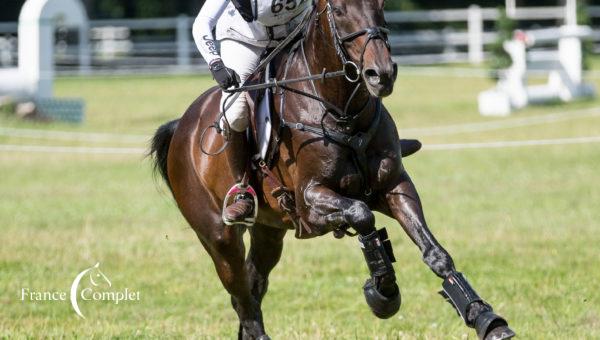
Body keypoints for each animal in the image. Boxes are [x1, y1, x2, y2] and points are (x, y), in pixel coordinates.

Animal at [150, 1, 516, 338]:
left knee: (252, 286)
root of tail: (182, 126)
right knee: (240, 291)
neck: (340, 110)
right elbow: (361, 216)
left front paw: (485, 318)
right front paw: (383, 293)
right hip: (219, 237)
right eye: (338, 10)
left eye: (381, 5)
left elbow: (434, 252)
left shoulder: (394, 186)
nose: (381, 74)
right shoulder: (311, 204)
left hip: (269, 232)